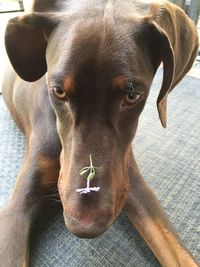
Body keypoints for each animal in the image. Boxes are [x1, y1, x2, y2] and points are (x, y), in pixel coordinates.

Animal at [0, 0, 199, 266]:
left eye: (132, 95)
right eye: (59, 91)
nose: (85, 226)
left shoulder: (130, 180)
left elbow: (178, 252)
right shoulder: (16, 211)